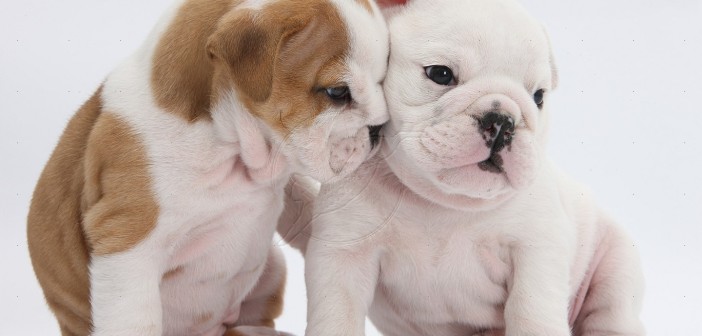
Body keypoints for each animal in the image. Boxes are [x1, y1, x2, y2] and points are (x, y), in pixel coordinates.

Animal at [26, 0, 390, 336]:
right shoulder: (127, 242)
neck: (228, 146)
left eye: (383, 80)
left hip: (272, 267)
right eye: (337, 92)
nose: (379, 128)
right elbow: (134, 319)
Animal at [288, 0, 648, 336]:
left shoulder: (536, 249)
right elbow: (337, 315)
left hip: (616, 265)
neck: (444, 202)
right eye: (440, 73)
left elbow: (531, 310)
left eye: (538, 97)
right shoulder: (345, 253)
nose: (502, 121)